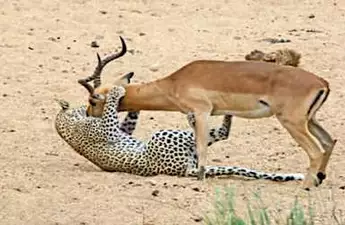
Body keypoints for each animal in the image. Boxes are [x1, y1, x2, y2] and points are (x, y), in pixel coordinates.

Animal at [54, 85, 304, 182]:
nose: (86, 107)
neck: (66, 126)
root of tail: (184, 170)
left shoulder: (120, 128)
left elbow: (127, 119)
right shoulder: (106, 126)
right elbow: (110, 110)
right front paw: (117, 90)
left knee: (215, 134)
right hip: (166, 135)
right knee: (219, 132)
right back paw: (216, 112)